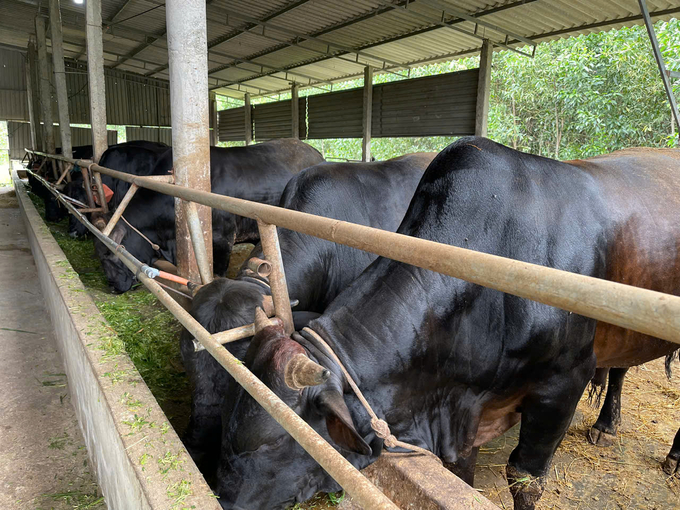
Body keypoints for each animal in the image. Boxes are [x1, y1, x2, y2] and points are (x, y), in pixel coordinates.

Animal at [215, 136, 680, 510]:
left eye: (274, 439)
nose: (223, 498)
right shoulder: (460, 404)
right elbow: (461, 474)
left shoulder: (564, 382)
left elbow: (525, 480)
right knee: (620, 368)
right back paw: (606, 425)